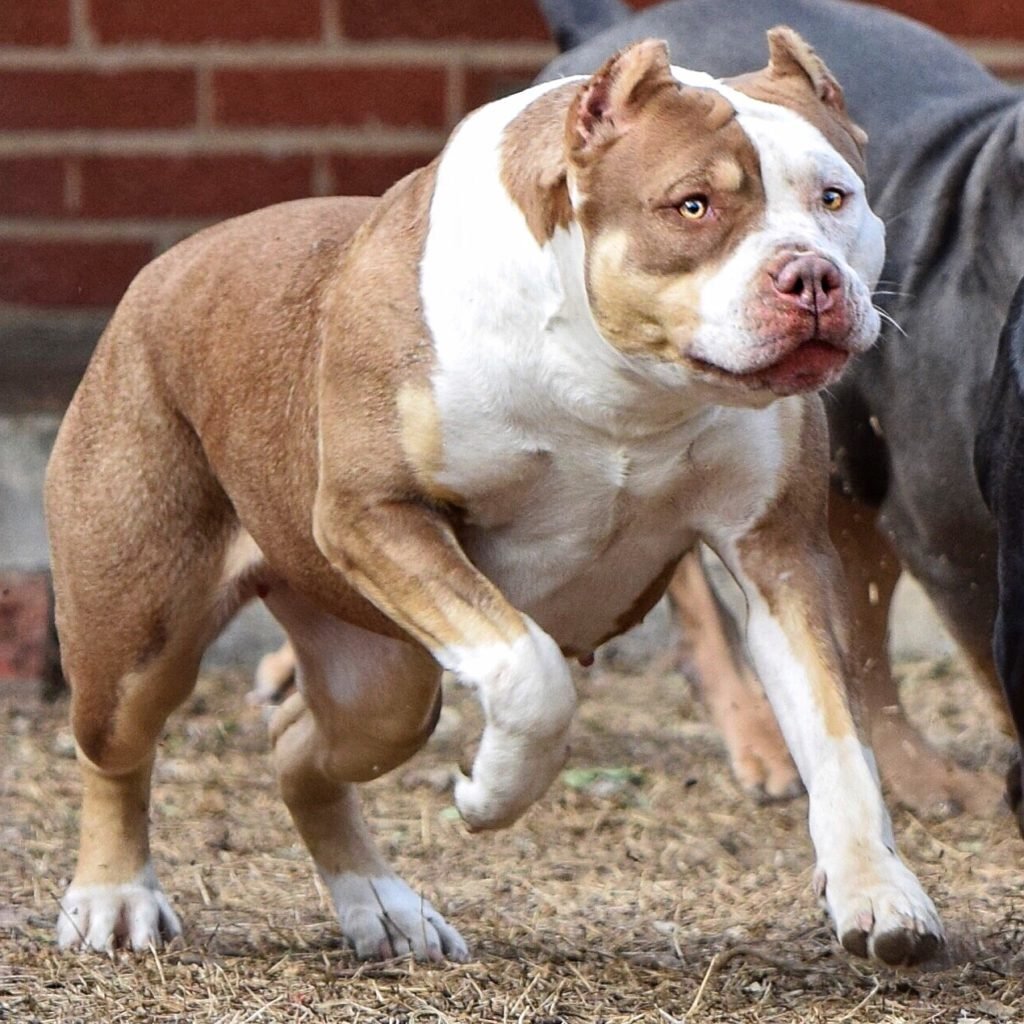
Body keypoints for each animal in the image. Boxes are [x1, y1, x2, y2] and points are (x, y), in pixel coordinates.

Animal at [46, 28, 942, 962]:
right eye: (692, 206)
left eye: (834, 197)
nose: (812, 278)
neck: (620, 381)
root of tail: (163, 270)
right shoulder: (376, 514)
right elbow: (530, 669)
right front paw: (491, 792)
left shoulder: (779, 552)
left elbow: (839, 738)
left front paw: (877, 890)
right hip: (140, 627)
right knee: (115, 752)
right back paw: (114, 897)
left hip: (383, 684)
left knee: (299, 743)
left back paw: (381, 906)